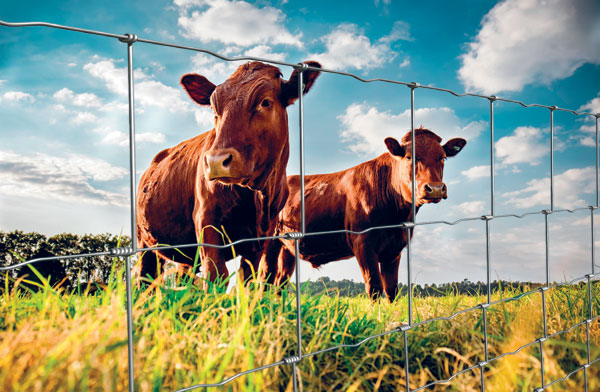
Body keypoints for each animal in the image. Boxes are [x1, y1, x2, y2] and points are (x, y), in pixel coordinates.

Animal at [137, 62, 324, 288]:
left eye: (265, 102)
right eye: (215, 109)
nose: (216, 161)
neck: (259, 197)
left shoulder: (262, 236)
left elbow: (247, 278)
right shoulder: (205, 219)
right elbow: (217, 274)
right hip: (145, 241)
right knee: (145, 278)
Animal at [260, 128, 466, 300]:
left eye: (443, 157)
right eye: (409, 157)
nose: (435, 189)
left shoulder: (395, 248)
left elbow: (391, 289)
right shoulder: (362, 242)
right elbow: (374, 286)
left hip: (288, 247)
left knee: (280, 281)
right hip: (269, 241)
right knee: (265, 278)